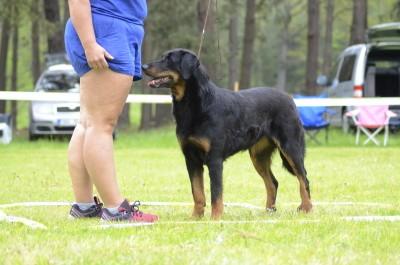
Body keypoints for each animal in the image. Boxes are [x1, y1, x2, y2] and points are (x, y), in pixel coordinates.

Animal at [143, 48, 312, 219]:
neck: (194, 104)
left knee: (303, 178)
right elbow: (197, 192)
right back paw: (268, 212)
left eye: (169, 59)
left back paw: (306, 208)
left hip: (291, 147)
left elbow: (216, 193)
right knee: (273, 182)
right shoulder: (191, 158)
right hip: (258, 155)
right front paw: (196, 217)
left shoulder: (214, 159)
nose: (143, 66)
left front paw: (215, 218)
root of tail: (289, 98)